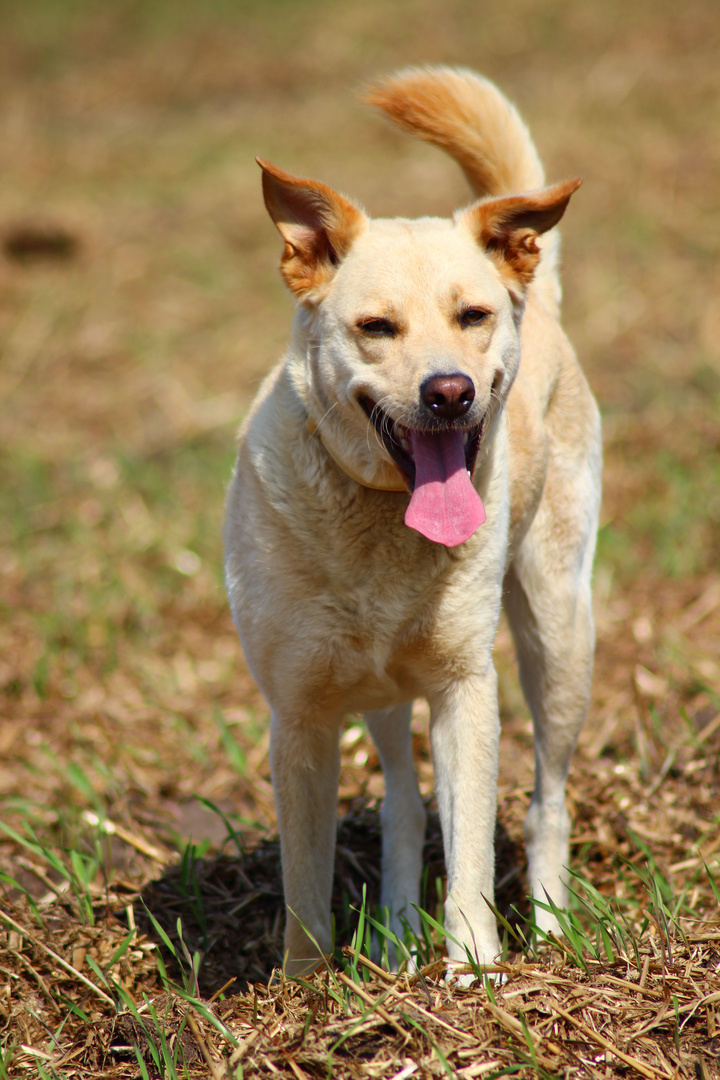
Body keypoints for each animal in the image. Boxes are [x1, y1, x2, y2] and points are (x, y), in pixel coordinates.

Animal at [225, 67, 604, 980]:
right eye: (376, 327)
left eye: (471, 316)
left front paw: (472, 970)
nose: (449, 393)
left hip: (557, 633)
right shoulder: (300, 713)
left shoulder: (465, 687)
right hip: (382, 692)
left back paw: (550, 929)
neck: (380, 521)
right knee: (400, 799)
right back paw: (395, 938)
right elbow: (304, 877)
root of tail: (539, 293)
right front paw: (305, 988)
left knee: (546, 799)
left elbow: (468, 849)